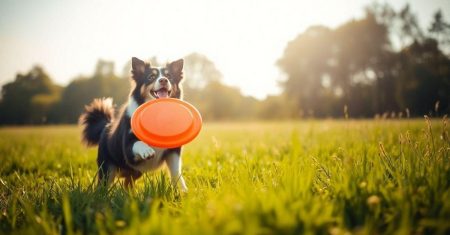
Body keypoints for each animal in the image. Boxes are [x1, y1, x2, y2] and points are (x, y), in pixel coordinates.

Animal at [80, 57, 187, 191]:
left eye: (169, 76)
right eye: (151, 77)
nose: (163, 80)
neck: (157, 113)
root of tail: (106, 126)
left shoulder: (173, 150)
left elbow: (176, 171)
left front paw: (183, 191)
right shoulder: (128, 149)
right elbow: (138, 143)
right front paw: (147, 150)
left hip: (135, 172)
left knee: (127, 183)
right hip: (107, 167)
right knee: (103, 184)